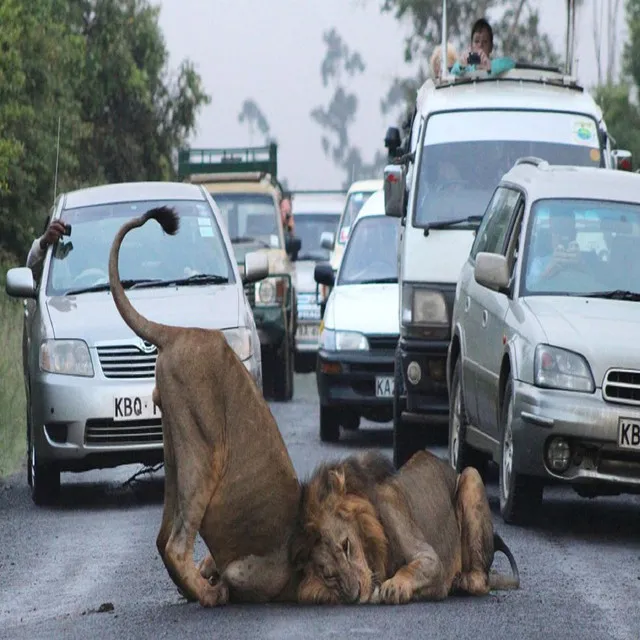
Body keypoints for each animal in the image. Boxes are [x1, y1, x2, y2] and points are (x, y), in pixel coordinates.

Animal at [108, 208, 302, 608]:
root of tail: (178, 332)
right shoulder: (261, 571)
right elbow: (239, 576)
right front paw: (220, 583)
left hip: (176, 445)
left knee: (163, 537)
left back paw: (194, 589)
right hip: (204, 450)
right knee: (176, 544)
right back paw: (210, 594)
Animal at [292, 448, 520, 604]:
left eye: (346, 545)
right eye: (329, 575)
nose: (356, 595)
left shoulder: (431, 560)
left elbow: (415, 567)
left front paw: (394, 586)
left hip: (471, 475)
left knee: (481, 582)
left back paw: (461, 581)